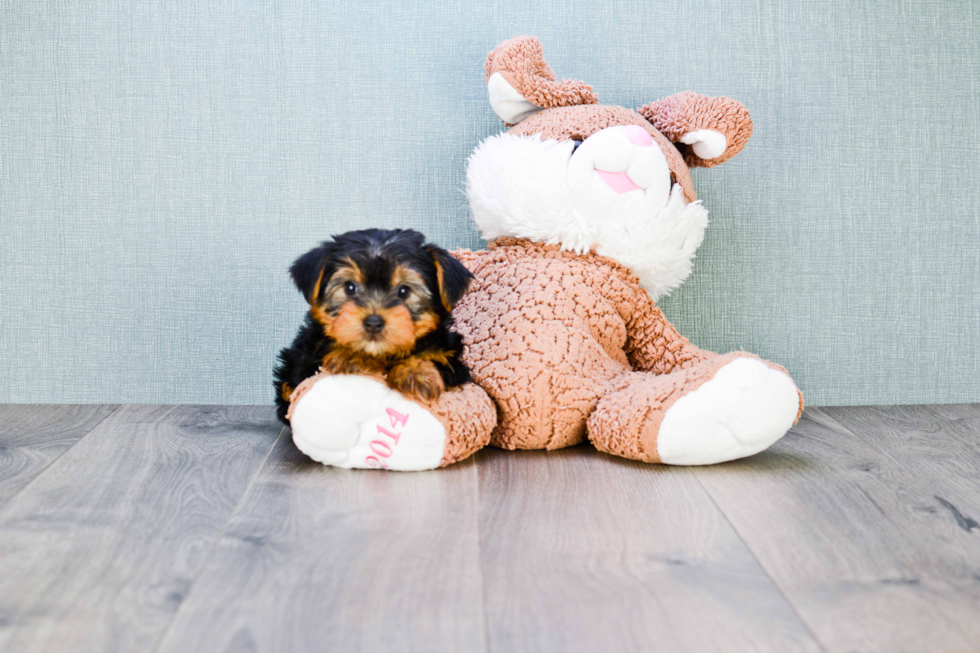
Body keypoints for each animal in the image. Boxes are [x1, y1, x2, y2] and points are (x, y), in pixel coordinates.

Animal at [274, 228, 472, 422]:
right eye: (350, 287)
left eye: (404, 291)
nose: (374, 323)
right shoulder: (307, 362)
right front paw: (352, 356)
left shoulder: (452, 361)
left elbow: (433, 358)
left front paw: (416, 373)